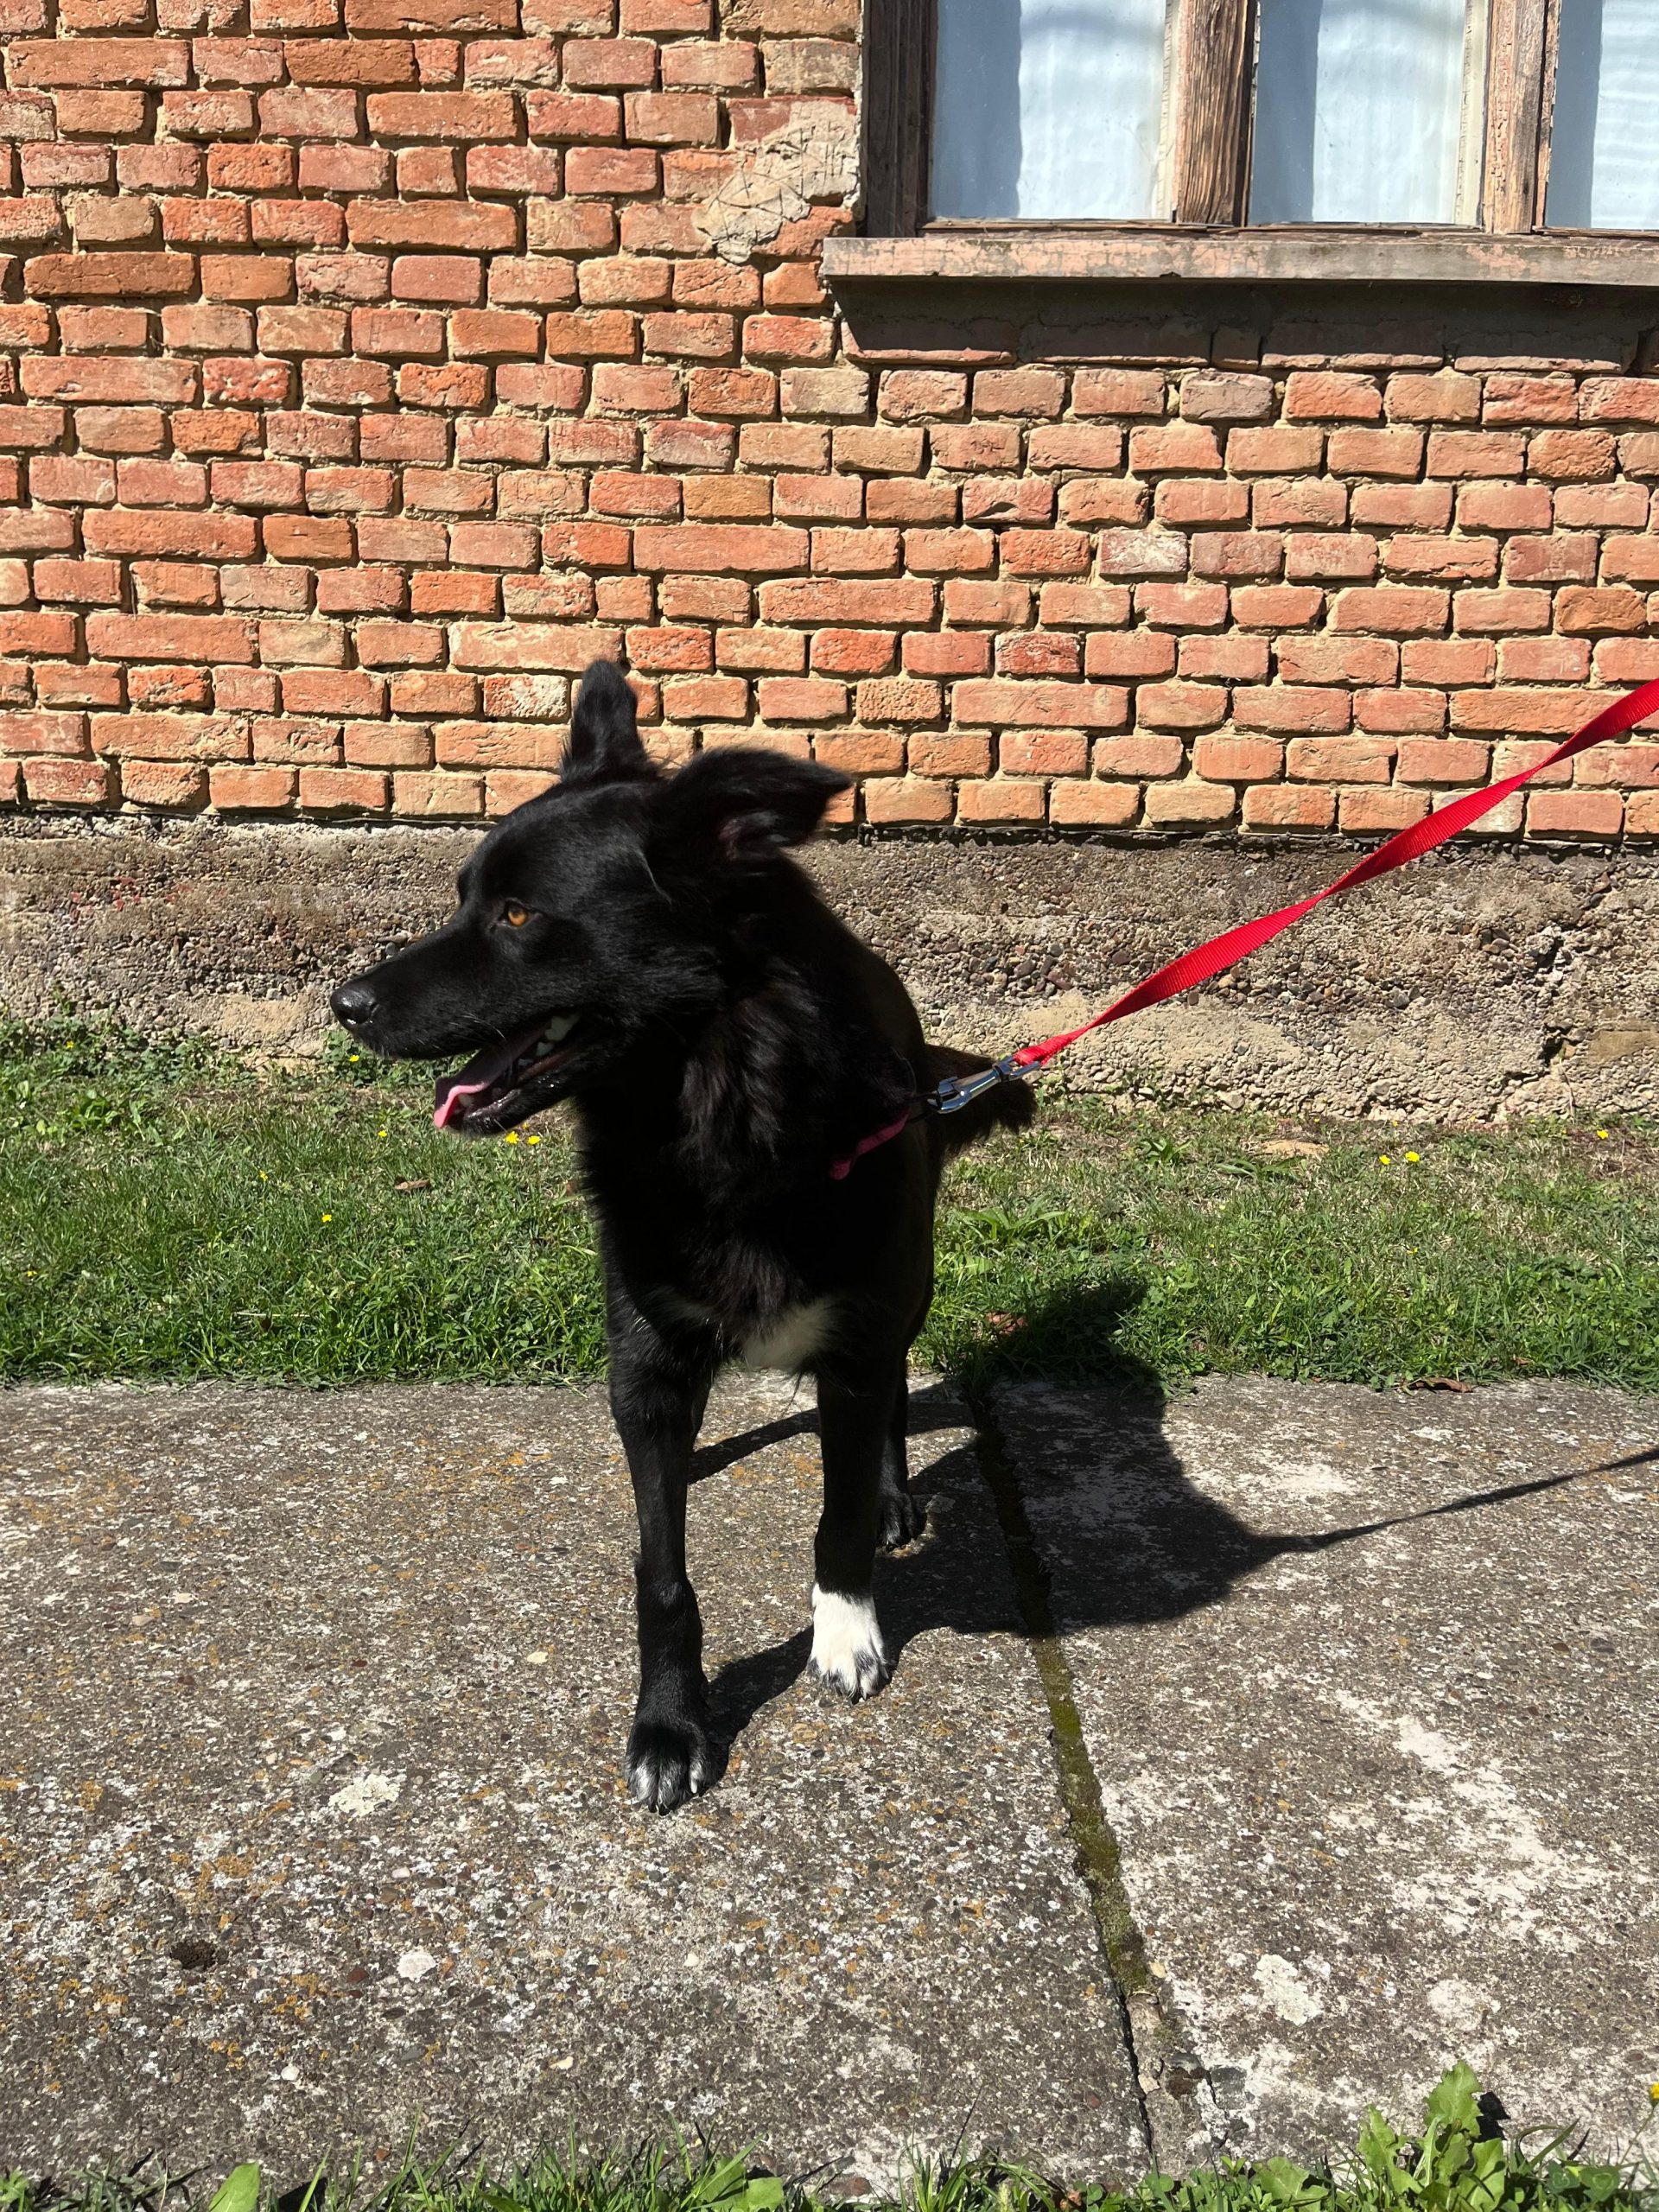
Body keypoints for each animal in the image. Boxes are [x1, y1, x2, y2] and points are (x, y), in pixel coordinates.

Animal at [331, 660, 1032, 1811]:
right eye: (467, 898)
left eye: (518, 912)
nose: (344, 1003)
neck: (718, 1121)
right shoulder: (649, 1357)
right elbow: (660, 1571)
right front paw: (670, 1720)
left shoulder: (857, 1326)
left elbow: (841, 1503)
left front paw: (845, 1630)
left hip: (909, 1279)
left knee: (892, 1389)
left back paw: (892, 1491)